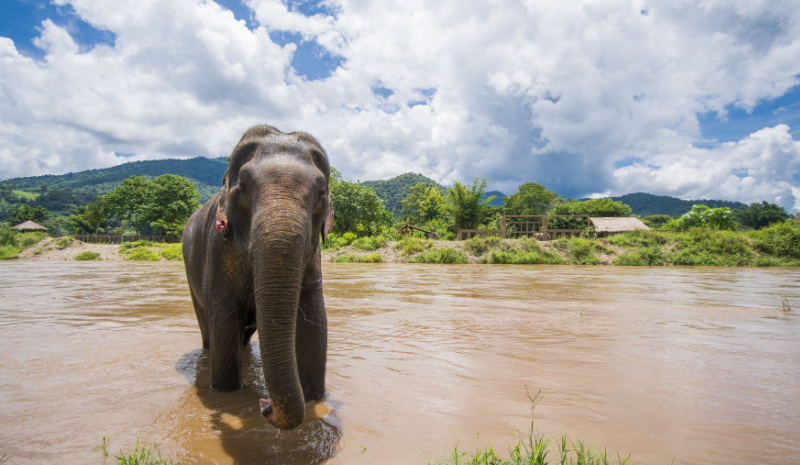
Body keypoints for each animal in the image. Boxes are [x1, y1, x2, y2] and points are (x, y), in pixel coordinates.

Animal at [183, 124, 332, 428]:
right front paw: (226, 398)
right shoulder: (218, 248)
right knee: (210, 331)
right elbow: (223, 318)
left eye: (321, 193)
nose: (264, 405)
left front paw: (314, 400)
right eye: (243, 187)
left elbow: (314, 322)